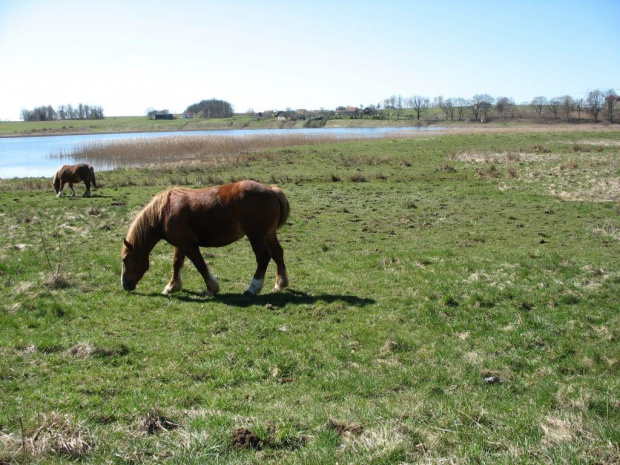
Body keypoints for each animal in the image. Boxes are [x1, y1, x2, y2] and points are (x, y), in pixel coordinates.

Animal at [122, 179, 292, 296]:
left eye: (124, 260)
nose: (124, 284)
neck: (163, 212)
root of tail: (271, 190)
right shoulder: (180, 244)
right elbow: (176, 263)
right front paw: (172, 287)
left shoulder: (189, 245)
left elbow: (200, 265)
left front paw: (212, 288)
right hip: (269, 234)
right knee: (278, 254)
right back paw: (280, 284)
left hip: (257, 236)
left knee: (263, 257)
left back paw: (252, 288)